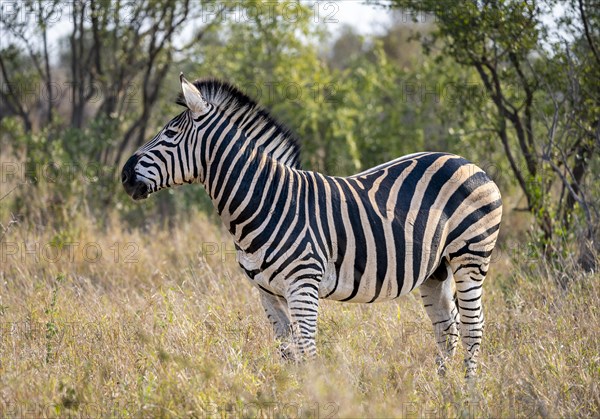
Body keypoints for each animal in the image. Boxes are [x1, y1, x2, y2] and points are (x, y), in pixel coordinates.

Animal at [122, 74, 502, 378]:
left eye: (170, 133)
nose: (124, 176)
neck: (266, 200)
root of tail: (467, 161)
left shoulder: (303, 285)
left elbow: (308, 350)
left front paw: (313, 398)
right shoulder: (267, 292)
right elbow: (287, 352)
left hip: (470, 258)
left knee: (473, 328)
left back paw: (467, 392)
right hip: (436, 270)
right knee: (447, 329)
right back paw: (443, 388)